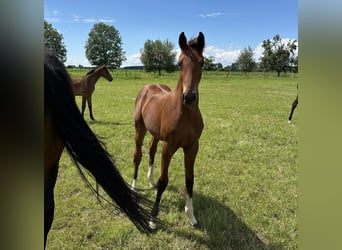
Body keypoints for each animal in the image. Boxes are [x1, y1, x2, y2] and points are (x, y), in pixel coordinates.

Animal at [45, 52, 162, 248]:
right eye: (106, 71)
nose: (112, 78)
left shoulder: (87, 96)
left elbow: (89, 107)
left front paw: (91, 118)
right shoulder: (85, 95)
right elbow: (85, 107)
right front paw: (87, 118)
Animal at [132, 32, 204, 229]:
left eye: (202, 62)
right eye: (179, 63)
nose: (189, 97)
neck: (185, 114)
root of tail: (148, 87)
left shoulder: (192, 147)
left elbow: (190, 179)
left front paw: (191, 216)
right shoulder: (169, 146)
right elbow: (163, 181)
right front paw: (152, 219)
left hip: (156, 134)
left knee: (151, 150)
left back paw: (149, 182)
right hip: (140, 129)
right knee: (138, 155)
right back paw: (134, 187)